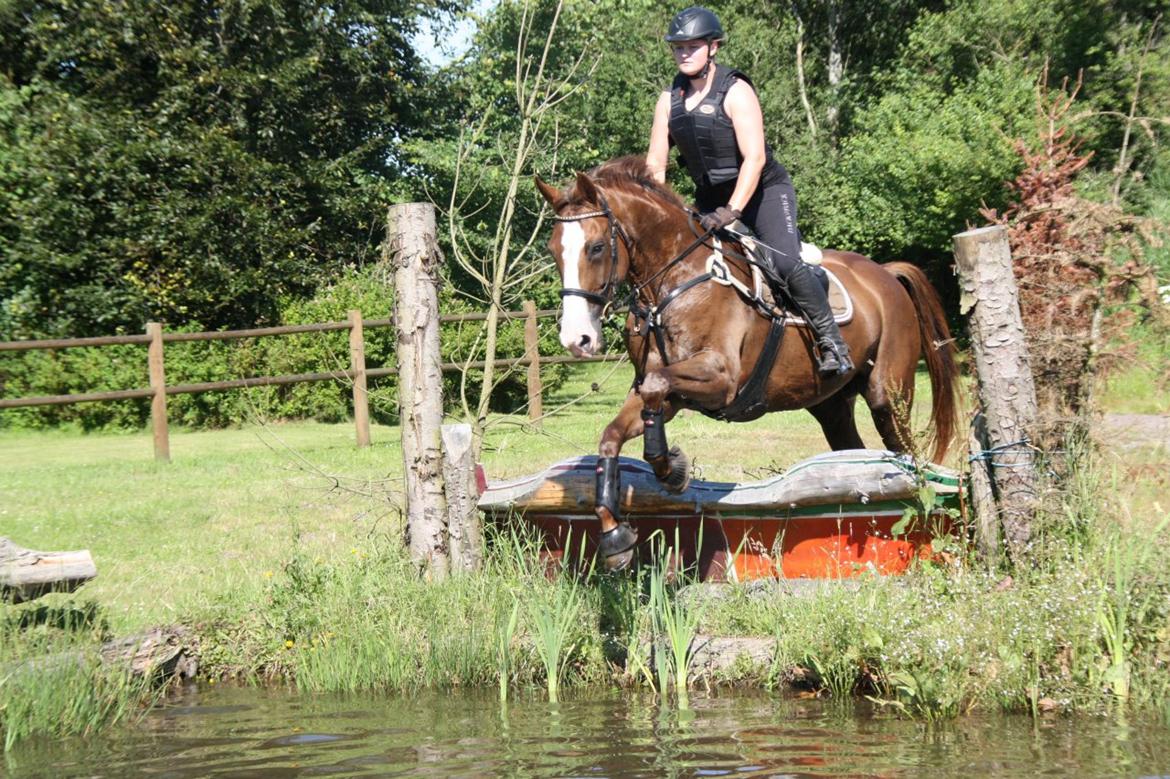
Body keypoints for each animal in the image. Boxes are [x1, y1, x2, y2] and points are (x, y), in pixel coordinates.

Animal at [535, 156, 954, 570]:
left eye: (596, 247)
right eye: (554, 251)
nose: (576, 340)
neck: (671, 284)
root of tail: (886, 273)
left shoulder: (721, 381)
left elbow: (657, 386)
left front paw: (671, 469)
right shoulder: (667, 393)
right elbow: (614, 434)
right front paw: (617, 533)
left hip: (888, 394)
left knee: (906, 452)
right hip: (832, 406)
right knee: (853, 450)